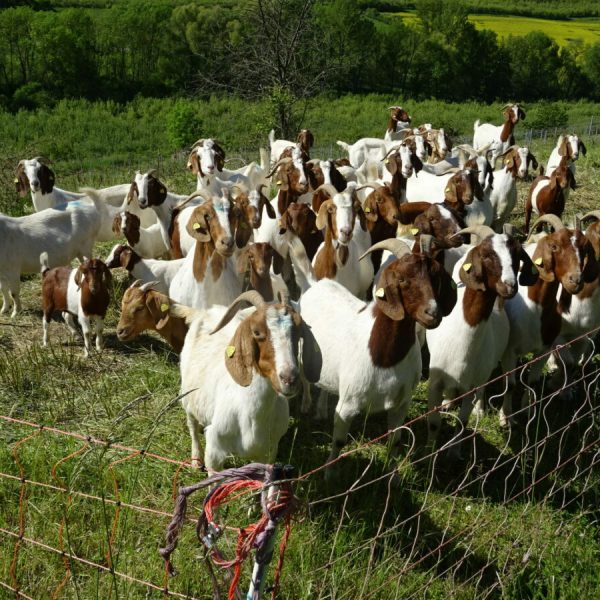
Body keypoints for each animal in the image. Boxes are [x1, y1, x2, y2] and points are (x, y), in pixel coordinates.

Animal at [171, 290, 321, 472]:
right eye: (256, 332)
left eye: (299, 332)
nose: (289, 378)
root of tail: (204, 312)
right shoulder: (214, 451)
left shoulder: (269, 453)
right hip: (187, 394)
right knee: (191, 424)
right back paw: (195, 460)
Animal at [292, 237, 456, 477]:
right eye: (402, 278)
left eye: (435, 277)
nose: (433, 313)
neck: (385, 358)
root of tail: (314, 286)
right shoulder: (348, 404)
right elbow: (339, 441)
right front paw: (329, 474)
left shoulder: (401, 404)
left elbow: (395, 440)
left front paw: (392, 475)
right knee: (306, 379)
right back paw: (306, 405)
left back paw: (321, 409)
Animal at [425, 225, 539, 454]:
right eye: (486, 255)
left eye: (517, 255)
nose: (509, 286)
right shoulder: (435, 382)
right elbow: (433, 423)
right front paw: (430, 451)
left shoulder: (470, 387)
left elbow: (462, 422)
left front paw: (454, 452)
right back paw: (448, 401)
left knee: (484, 388)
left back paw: (479, 409)